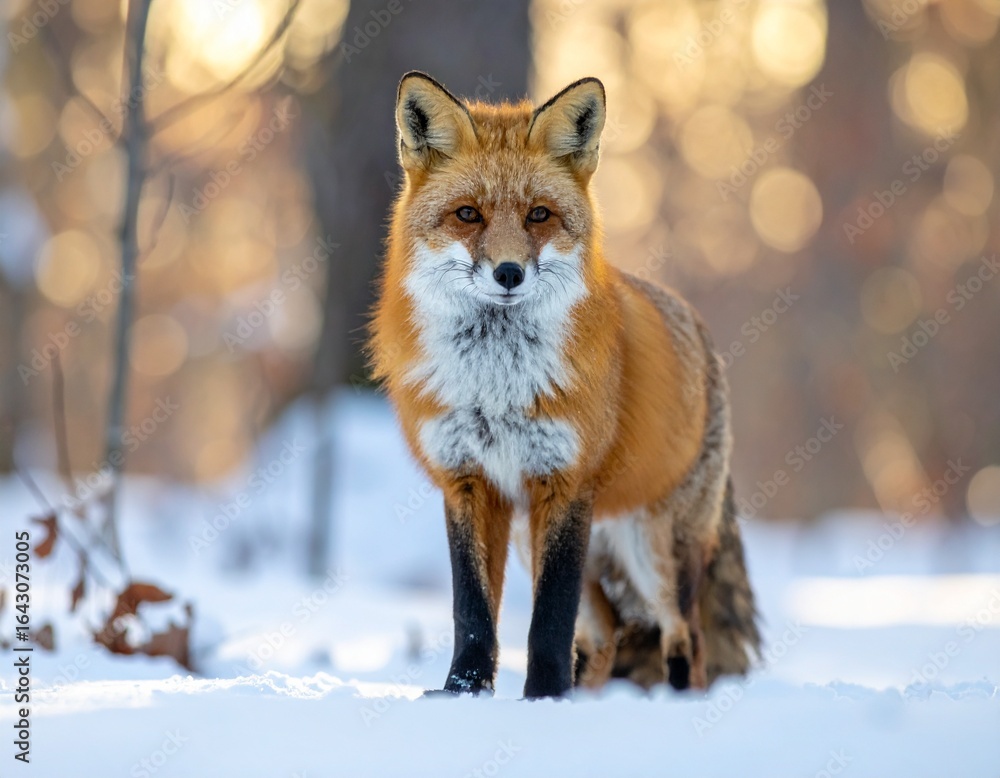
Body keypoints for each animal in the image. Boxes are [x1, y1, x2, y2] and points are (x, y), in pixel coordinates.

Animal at [370, 72, 760, 699]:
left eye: (539, 215)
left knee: (686, 636)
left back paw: (675, 704)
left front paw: (544, 698)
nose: (508, 273)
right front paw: (464, 693)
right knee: (606, 638)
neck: (497, 386)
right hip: (560, 545)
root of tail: (705, 339)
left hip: (654, 551)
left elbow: (549, 620)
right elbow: (472, 612)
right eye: (467, 214)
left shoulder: (564, 483)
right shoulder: (469, 482)